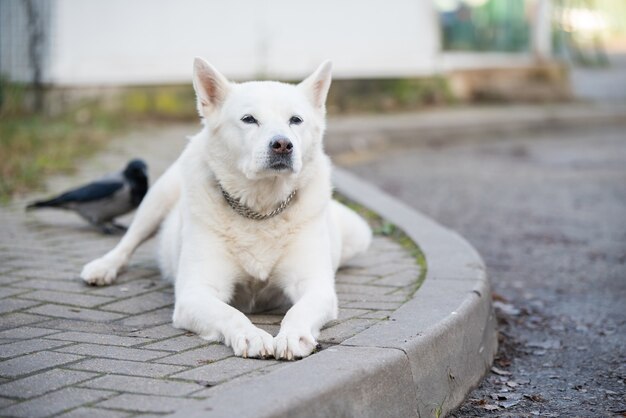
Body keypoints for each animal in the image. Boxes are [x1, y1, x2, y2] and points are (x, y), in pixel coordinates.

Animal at [79, 58, 370, 360]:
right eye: (249, 119)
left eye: (296, 120)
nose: (282, 144)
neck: (261, 207)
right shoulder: (195, 292)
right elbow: (231, 314)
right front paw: (252, 336)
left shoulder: (315, 285)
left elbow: (298, 310)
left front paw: (292, 336)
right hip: (157, 199)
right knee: (128, 242)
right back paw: (103, 267)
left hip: (359, 235)